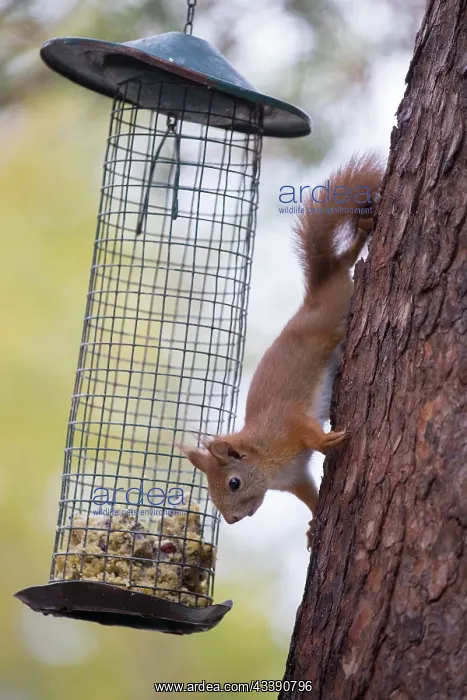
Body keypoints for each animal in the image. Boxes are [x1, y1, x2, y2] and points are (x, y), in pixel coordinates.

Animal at [181, 154, 384, 548]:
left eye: (233, 483)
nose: (231, 520)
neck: (265, 455)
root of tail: (316, 291)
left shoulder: (288, 423)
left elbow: (307, 430)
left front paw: (327, 439)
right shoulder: (296, 478)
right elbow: (310, 497)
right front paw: (313, 523)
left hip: (333, 316)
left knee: (345, 265)